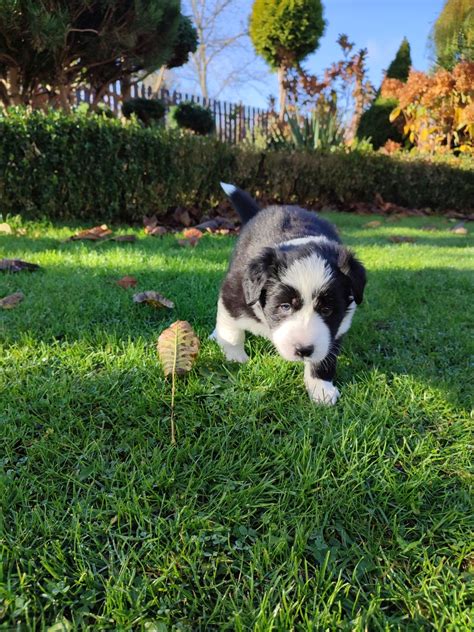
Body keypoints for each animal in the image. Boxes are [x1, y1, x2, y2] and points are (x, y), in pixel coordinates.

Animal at [211, 185, 366, 408]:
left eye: (327, 309)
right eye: (285, 306)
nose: (303, 350)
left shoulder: (337, 327)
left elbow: (324, 355)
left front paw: (321, 388)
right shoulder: (233, 294)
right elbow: (232, 332)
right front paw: (236, 358)